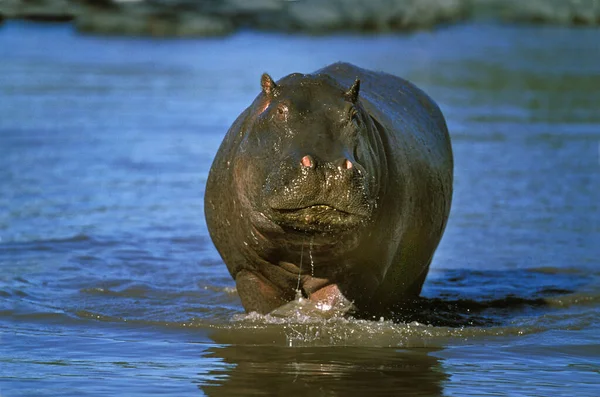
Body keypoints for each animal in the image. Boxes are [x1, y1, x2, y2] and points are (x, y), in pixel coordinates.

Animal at [204, 62, 452, 316]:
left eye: (354, 115)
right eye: (280, 110)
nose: (328, 166)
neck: (301, 242)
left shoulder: (361, 270)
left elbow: (332, 305)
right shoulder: (248, 271)